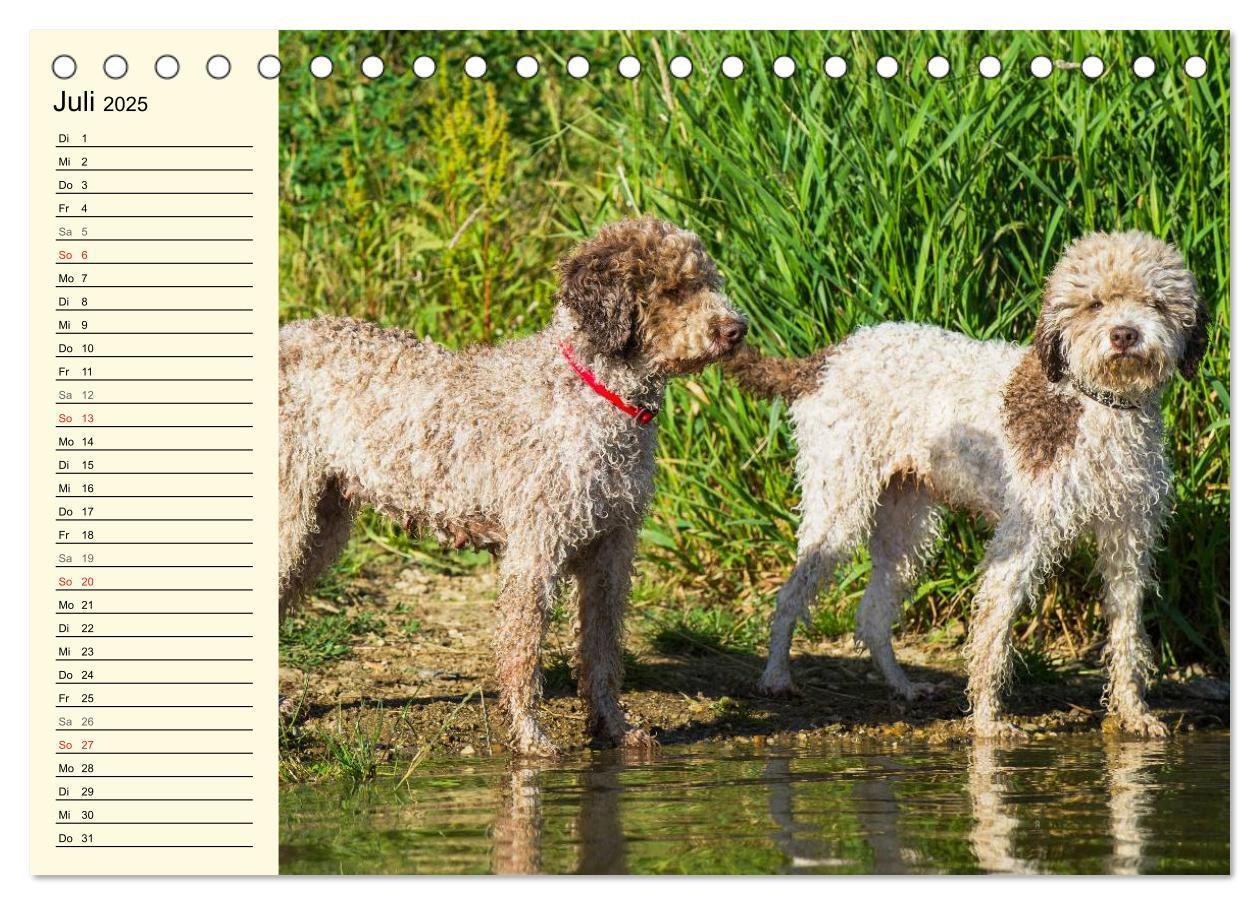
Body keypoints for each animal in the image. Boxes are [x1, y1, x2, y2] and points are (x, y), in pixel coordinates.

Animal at [278, 216, 745, 756]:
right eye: (672, 290)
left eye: (709, 281)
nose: (737, 329)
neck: (591, 393)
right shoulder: (535, 549)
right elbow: (523, 650)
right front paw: (529, 736)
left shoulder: (611, 548)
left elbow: (602, 650)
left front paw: (613, 727)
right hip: (290, 513)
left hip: (322, 521)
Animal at [730, 230, 1209, 741]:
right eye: (1093, 304)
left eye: (1155, 302)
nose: (1124, 334)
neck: (1097, 405)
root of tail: (824, 360)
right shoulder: (1021, 540)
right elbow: (993, 633)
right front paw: (987, 723)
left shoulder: (1127, 540)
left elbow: (1126, 634)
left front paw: (1133, 713)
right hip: (838, 506)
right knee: (790, 596)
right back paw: (776, 677)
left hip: (906, 527)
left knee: (873, 616)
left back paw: (903, 687)